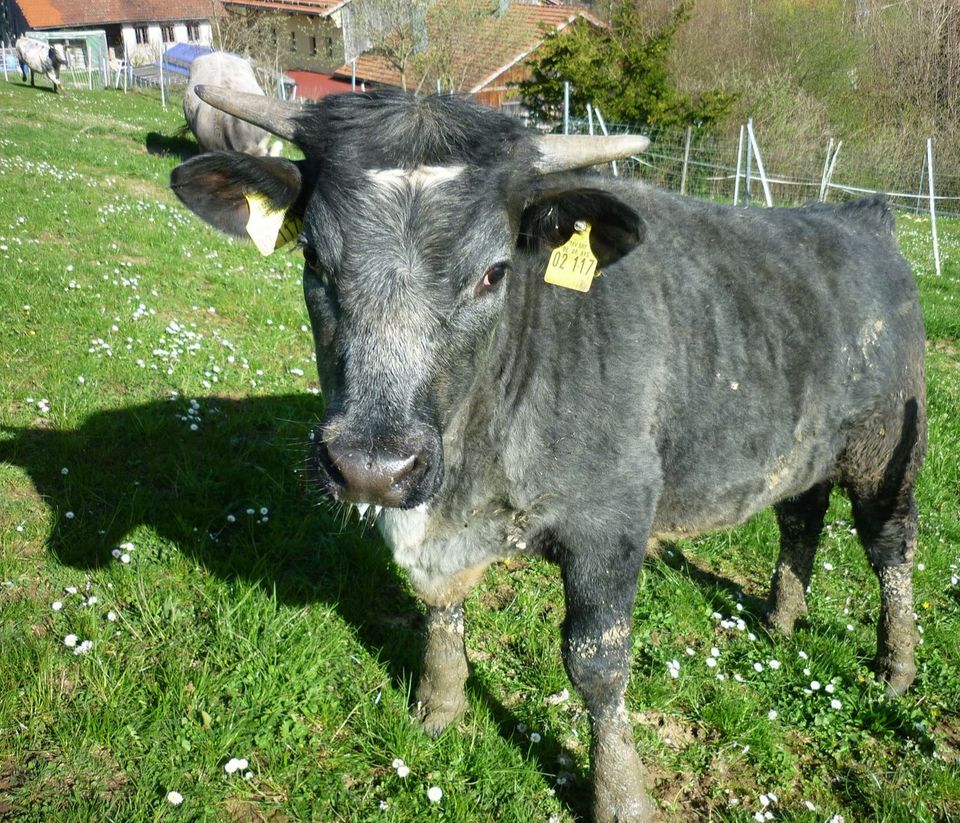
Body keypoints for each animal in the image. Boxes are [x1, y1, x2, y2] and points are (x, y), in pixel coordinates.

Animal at [169, 87, 928, 820]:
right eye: (313, 260)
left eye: (494, 272)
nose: (372, 467)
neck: (472, 471)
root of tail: (860, 215)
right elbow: (440, 606)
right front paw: (439, 705)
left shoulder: (612, 520)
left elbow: (596, 662)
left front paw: (621, 795)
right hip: (808, 444)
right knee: (800, 517)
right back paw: (779, 619)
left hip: (887, 444)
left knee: (888, 544)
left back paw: (896, 664)